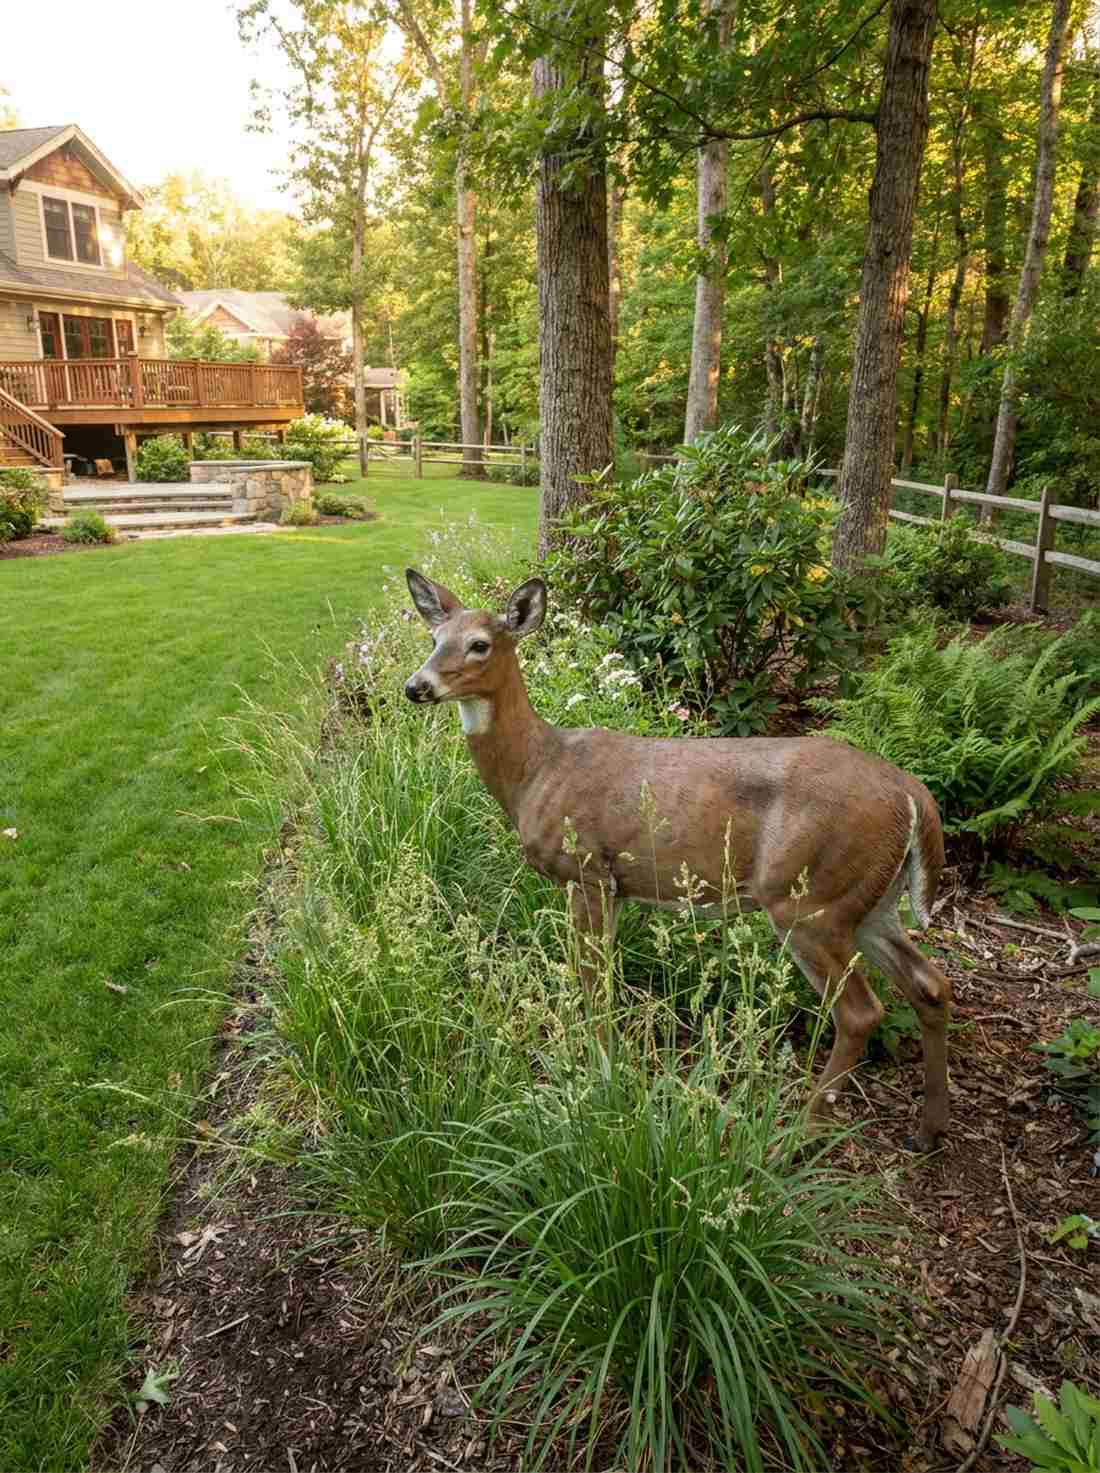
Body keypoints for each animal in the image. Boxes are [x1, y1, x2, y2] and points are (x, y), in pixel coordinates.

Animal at [403, 569, 952, 1152]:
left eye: (480, 644)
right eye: (434, 638)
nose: (416, 686)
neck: (538, 770)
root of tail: (912, 794)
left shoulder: (587, 870)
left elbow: (593, 983)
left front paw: (600, 1079)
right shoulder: (616, 885)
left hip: (807, 898)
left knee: (861, 1012)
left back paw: (796, 1137)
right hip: (868, 899)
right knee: (930, 984)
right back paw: (928, 1130)